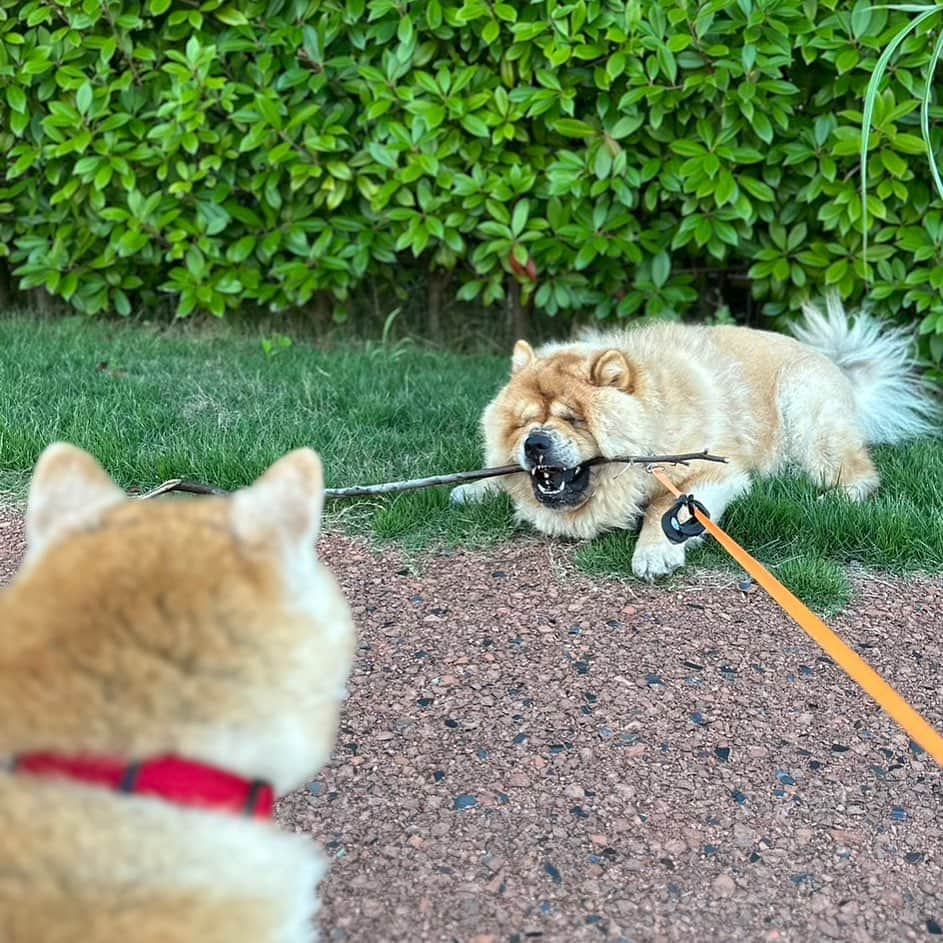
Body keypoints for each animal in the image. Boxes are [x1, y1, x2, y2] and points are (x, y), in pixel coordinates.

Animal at [454, 296, 940, 580]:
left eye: (574, 419)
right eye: (523, 423)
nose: (534, 443)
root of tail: (839, 369)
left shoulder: (712, 470)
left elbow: (662, 509)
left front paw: (654, 552)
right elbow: (495, 475)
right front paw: (474, 487)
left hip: (806, 409)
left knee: (858, 474)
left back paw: (829, 500)